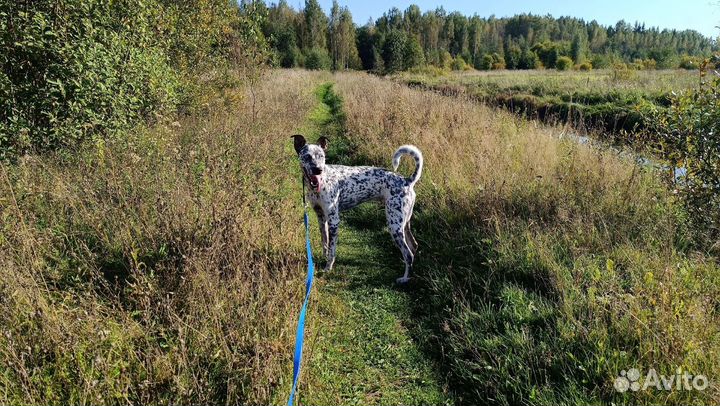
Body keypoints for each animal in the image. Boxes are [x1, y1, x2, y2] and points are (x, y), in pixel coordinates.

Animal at [290, 135, 422, 284]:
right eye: (307, 156)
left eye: (322, 156)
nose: (318, 170)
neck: (323, 181)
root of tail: (407, 181)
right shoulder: (321, 218)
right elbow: (325, 242)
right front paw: (323, 258)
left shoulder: (334, 221)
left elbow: (332, 249)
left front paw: (328, 268)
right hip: (404, 223)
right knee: (414, 246)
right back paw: (410, 274)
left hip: (394, 226)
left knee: (408, 254)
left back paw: (404, 279)